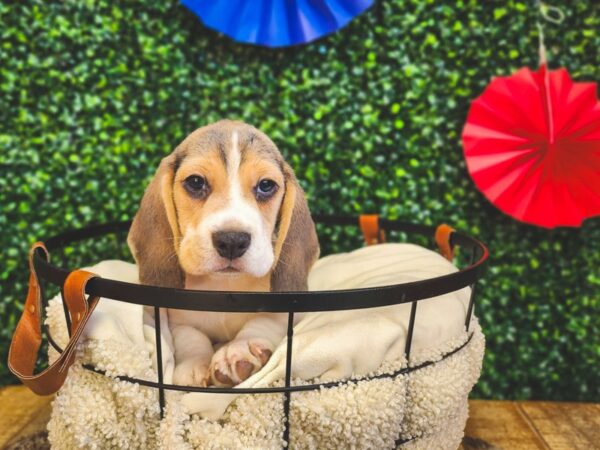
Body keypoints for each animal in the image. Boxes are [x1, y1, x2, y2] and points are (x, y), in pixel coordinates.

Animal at [129, 119, 322, 386]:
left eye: (266, 185)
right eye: (196, 182)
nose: (232, 241)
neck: (225, 287)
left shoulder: (288, 313)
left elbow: (264, 321)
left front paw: (240, 350)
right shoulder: (177, 318)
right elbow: (191, 337)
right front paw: (192, 367)